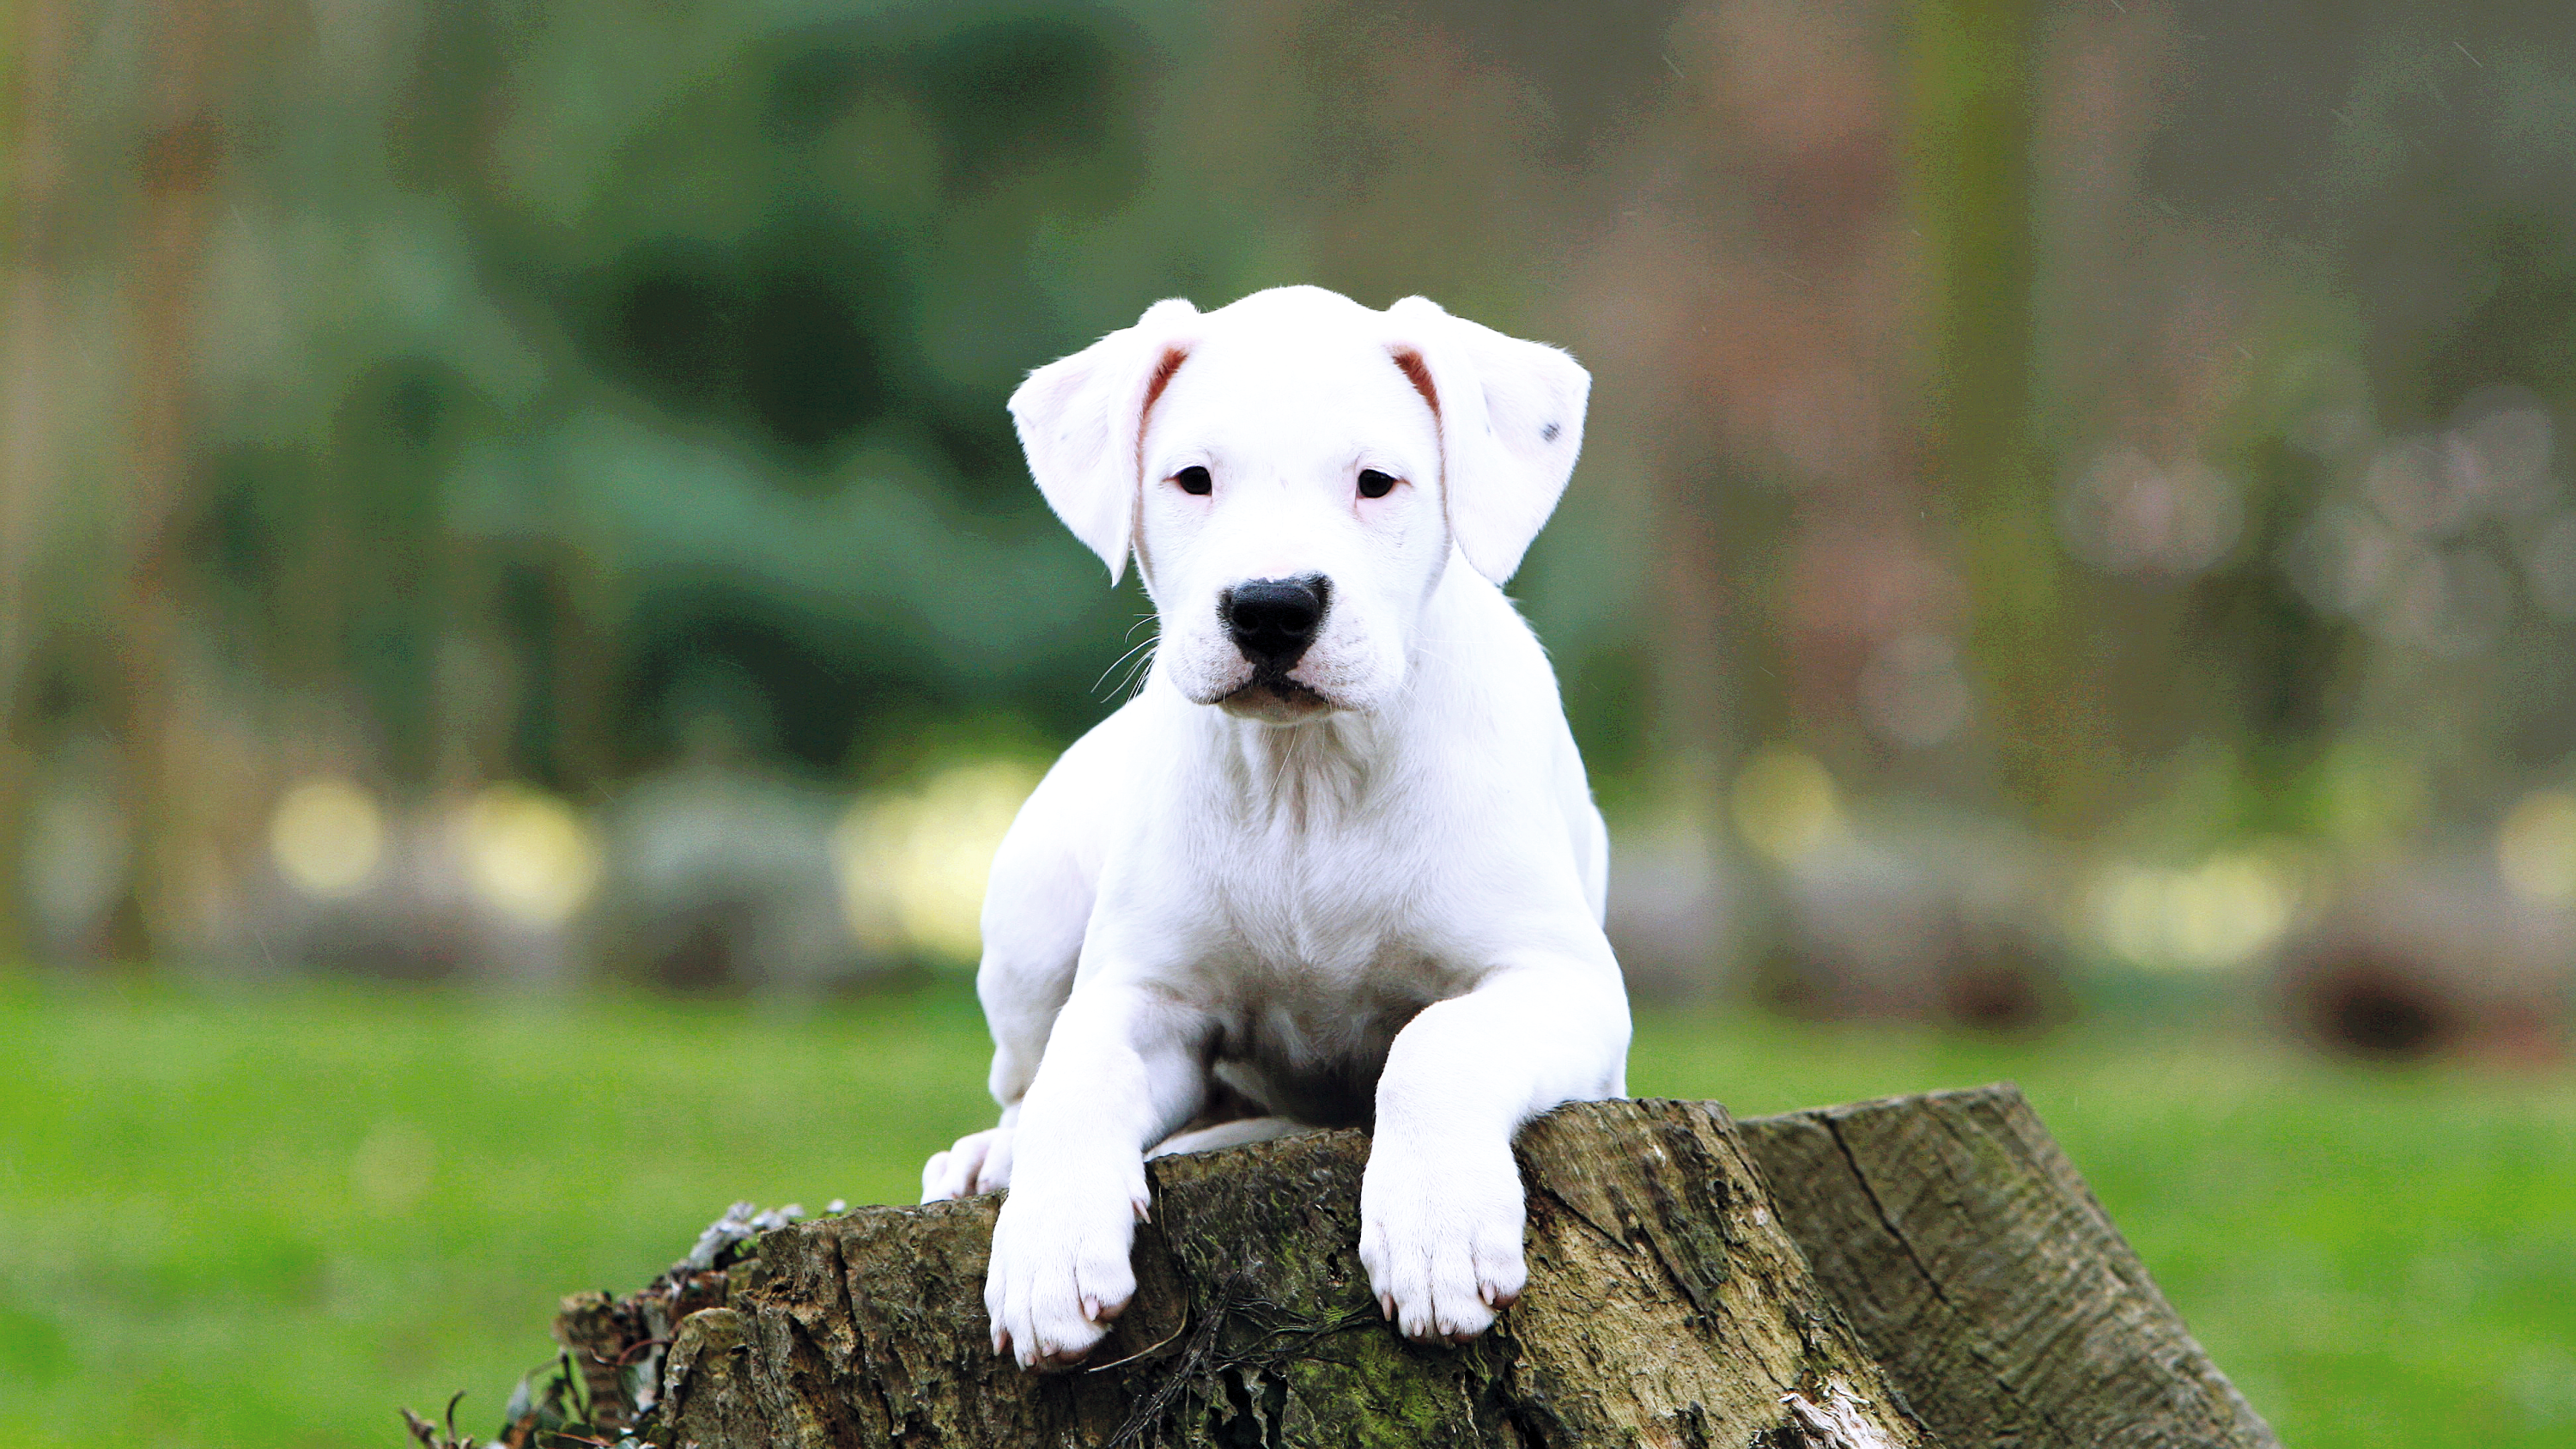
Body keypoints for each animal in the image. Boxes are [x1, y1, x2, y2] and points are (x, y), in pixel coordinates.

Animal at [917, 282, 1618, 1361]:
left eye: (1377, 482)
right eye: (1193, 480)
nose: (1273, 607)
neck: (1307, 776)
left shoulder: (1563, 983)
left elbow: (1436, 1044)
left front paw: (1437, 1229)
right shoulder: (1143, 994)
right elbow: (1080, 1074)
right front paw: (1046, 1249)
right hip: (1034, 914)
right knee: (1025, 1080)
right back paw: (992, 1156)